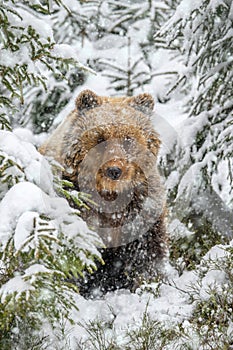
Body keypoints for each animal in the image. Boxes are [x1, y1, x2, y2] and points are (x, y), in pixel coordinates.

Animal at [40, 89, 167, 296]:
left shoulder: (141, 208)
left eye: (128, 139)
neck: (109, 194)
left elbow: (147, 251)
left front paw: (148, 284)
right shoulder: (76, 205)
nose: (114, 170)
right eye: (100, 137)